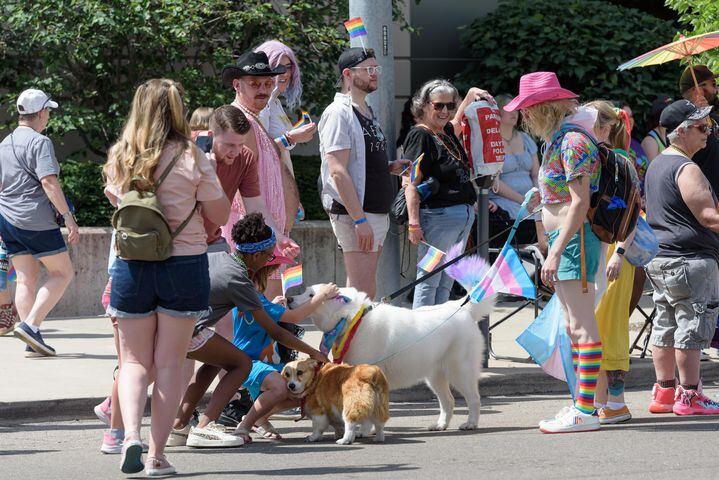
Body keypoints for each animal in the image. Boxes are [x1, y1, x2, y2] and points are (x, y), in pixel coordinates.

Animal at [288, 246, 496, 430]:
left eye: (311, 295)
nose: (289, 299)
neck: (352, 319)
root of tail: (462, 307)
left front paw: (364, 430)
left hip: (459, 370)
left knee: (474, 398)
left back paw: (471, 423)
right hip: (435, 374)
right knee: (448, 401)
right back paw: (440, 425)